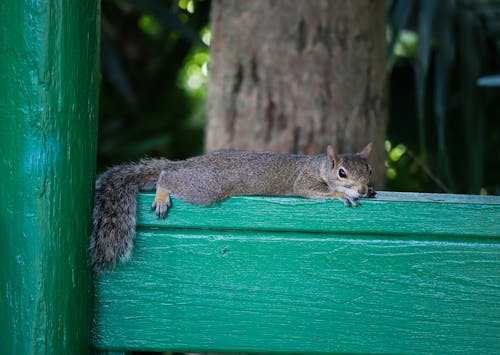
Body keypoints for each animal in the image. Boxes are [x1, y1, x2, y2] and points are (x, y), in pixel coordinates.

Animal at [91, 143, 376, 272]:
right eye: (341, 173)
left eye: (369, 170)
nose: (363, 189)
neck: (318, 166)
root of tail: (186, 163)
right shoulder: (304, 182)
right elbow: (317, 192)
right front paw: (339, 195)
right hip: (204, 187)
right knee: (166, 176)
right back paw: (162, 193)